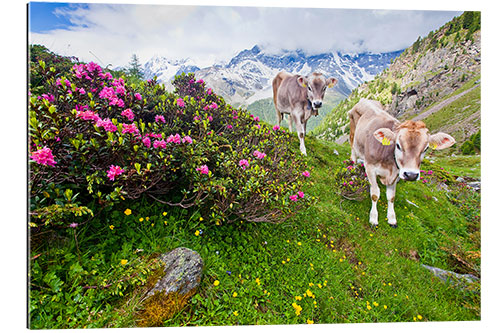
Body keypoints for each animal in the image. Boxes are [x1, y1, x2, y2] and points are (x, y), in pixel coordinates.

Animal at [350, 98, 456, 227]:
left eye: (426, 148)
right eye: (398, 145)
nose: (411, 175)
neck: (389, 165)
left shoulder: (396, 175)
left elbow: (391, 197)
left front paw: (391, 218)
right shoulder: (370, 167)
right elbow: (375, 194)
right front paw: (374, 218)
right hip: (353, 131)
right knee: (353, 150)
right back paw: (353, 167)